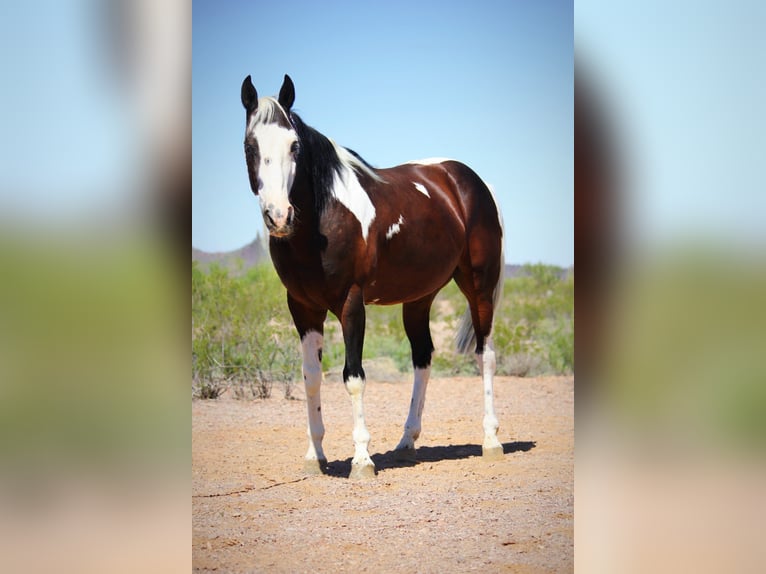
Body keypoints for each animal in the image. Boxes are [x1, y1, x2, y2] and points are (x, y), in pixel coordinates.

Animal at [240, 74, 505, 479]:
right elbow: (311, 377)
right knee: (422, 358)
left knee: (485, 354)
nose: (279, 216)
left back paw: (491, 441)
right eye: (250, 145)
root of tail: (471, 181)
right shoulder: (302, 308)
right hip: (419, 298)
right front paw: (314, 456)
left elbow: (353, 377)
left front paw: (362, 460)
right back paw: (407, 441)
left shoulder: (351, 303)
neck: (322, 219)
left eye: (294, 145)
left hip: (479, 286)